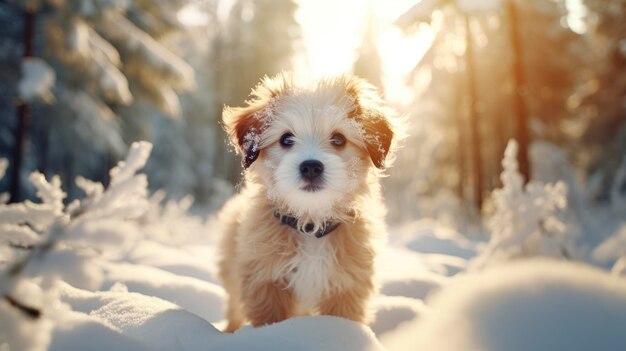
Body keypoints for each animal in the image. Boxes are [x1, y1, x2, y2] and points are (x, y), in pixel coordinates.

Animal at [217, 72, 398, 332]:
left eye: (338, 139)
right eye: (286, 138)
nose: (311, 166)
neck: (311, 225)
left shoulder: (347, 289)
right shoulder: (265, 283)